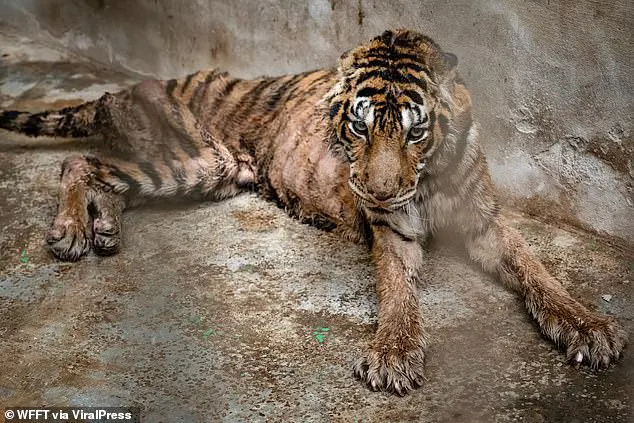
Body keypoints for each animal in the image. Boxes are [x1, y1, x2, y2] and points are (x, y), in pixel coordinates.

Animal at [0, 29, 624, 398]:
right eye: (359, 126)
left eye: (415, 130)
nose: (379, 191)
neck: (428, 177)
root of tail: (121, 91)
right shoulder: (392, 230)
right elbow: (398, 292)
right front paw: (394, 355)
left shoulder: (486, 219)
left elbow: (536, 270)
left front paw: (588, 327)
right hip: (197, 158)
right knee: (79, 161)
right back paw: (72, 232)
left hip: (209, 171)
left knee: (107, 177)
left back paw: (103, 229)